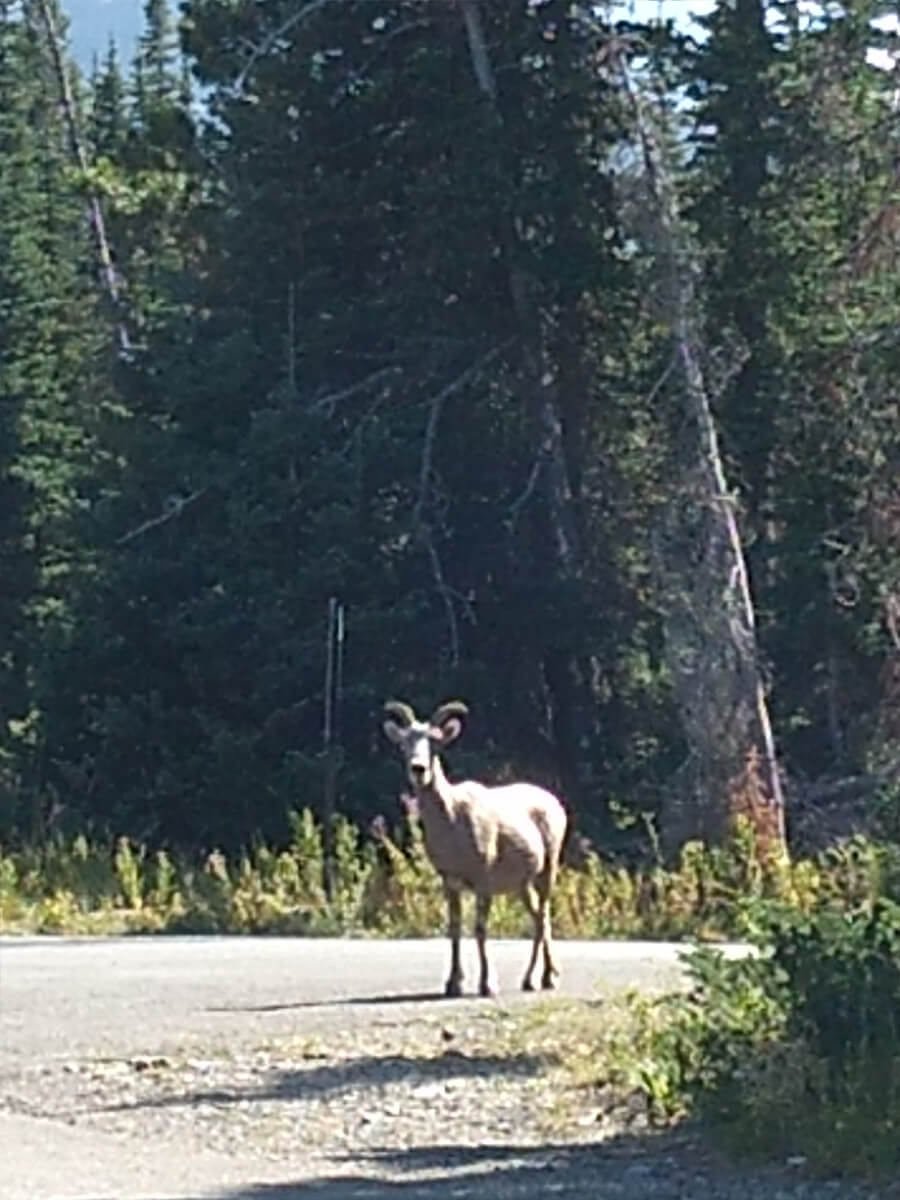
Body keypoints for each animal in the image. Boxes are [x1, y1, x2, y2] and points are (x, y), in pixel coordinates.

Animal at [381, 700, 566, 998]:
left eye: (436, 741)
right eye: (404, 743)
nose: (418, 768)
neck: (453, 821)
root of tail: (556, 803)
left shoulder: (483, 881)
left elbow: (480, 929)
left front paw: (487, 985)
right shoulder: (450, 882)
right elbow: (455, 929)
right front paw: (453, 985)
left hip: (547, 871)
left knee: (542, 920)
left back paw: (536, 980)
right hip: (522, 885)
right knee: (541, 919)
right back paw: (543, 978)